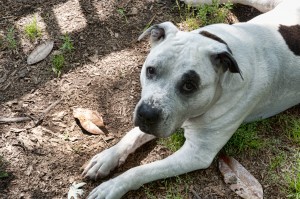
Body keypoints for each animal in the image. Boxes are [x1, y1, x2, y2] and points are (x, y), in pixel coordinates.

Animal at [82, 0, 300, 198]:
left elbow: (142, 170)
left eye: (189, 86)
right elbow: (131, 136)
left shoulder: (196, 154)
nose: (147, 115)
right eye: (150, 70)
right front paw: (106, 157)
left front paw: (112, 186)